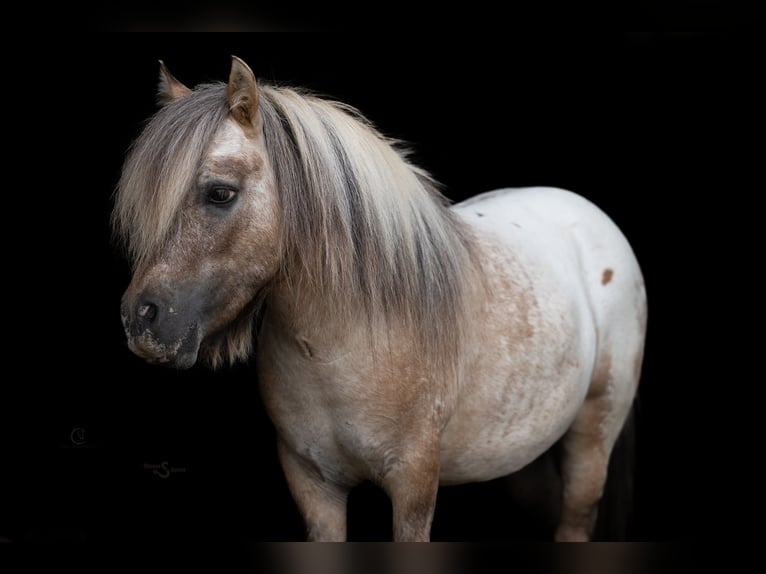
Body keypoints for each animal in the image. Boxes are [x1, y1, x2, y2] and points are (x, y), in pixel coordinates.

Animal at [113, 56, 647, 541]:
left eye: (220, 193)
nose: (142, 320)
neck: (340, 348)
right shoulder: (313, 485)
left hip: (592, 439)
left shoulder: (414, 486)